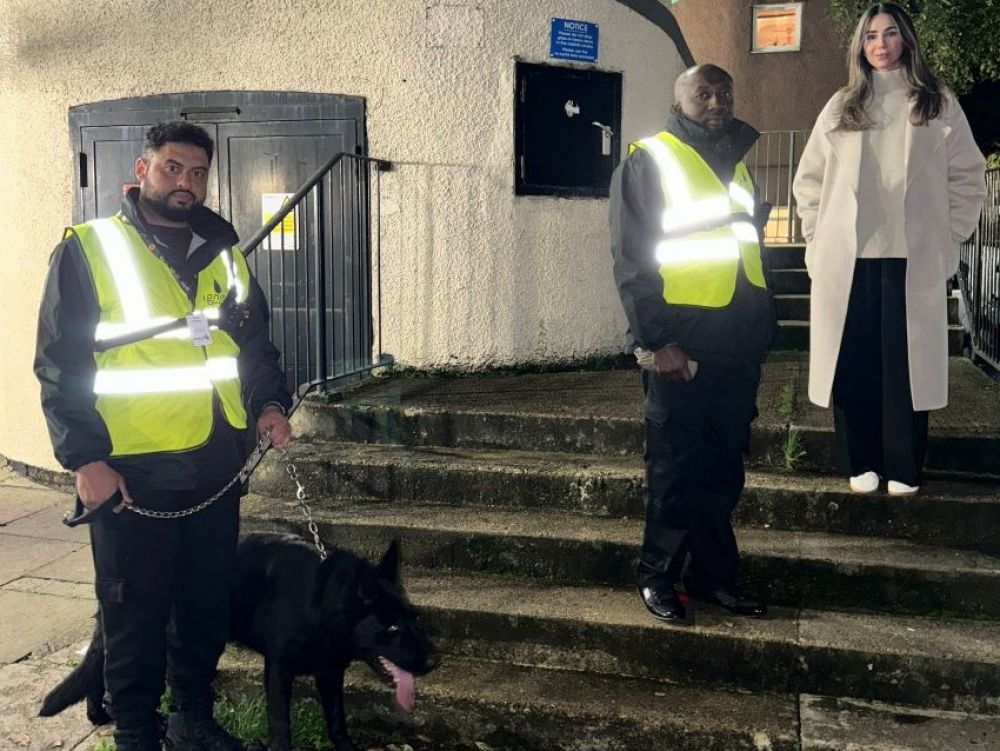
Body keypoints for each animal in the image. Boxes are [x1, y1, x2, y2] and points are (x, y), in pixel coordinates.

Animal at [39, 532, 438, 748]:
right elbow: (281, 727)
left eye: (413, 619)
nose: (435, 662)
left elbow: (338, 721)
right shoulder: (278, 674)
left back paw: (97, 713)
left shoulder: (330, 673)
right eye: (391, 629)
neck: (318, 603)